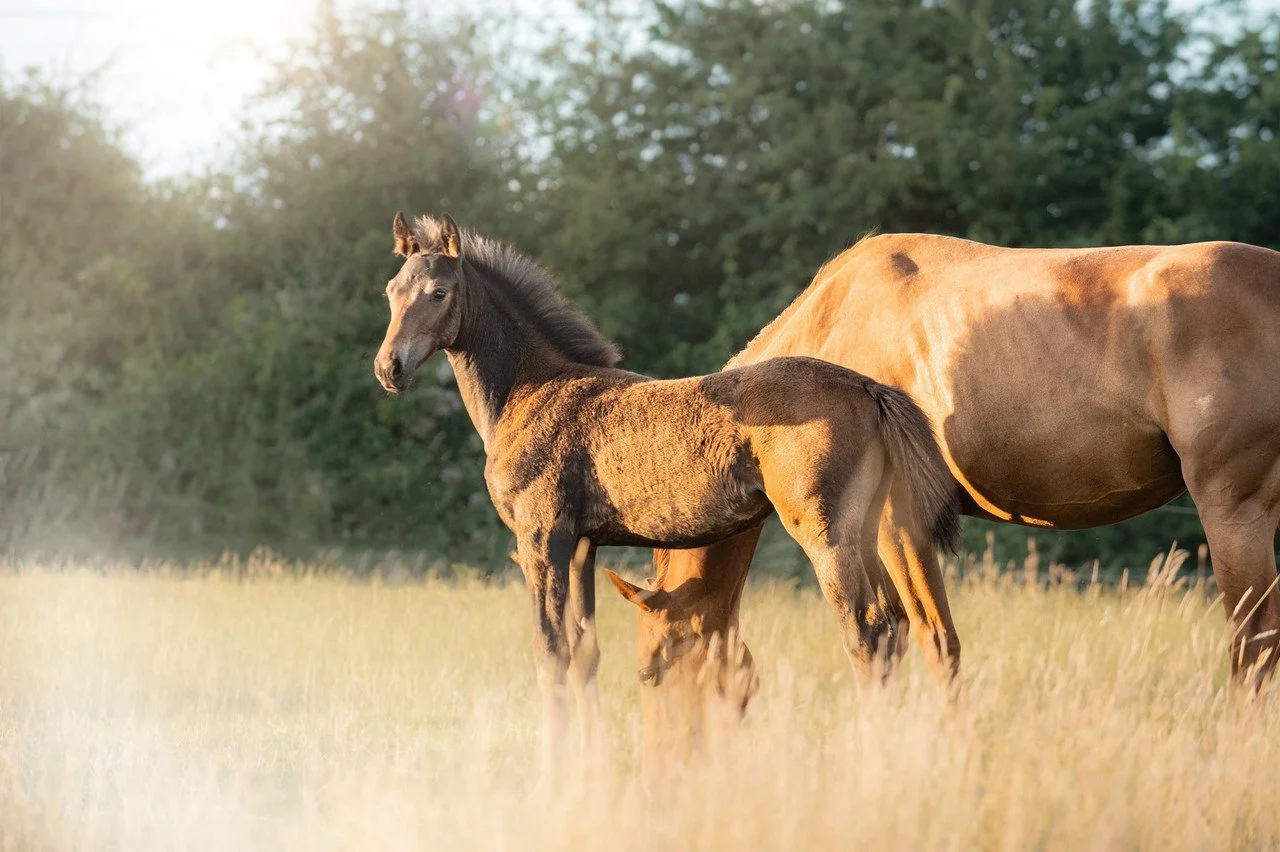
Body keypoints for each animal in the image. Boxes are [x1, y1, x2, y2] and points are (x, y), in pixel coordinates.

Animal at [372, 212, 959, 773]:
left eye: (439, 292)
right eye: (391, 291)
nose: (389, 367)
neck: (531, 389)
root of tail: (867, 386)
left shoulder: (541, 539)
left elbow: (550, 650)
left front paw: (553, 771)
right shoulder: (582, 545)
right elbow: (585, 650)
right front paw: (592, 763)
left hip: (826, 534)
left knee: (866, 632)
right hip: (866, 529)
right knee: (894, 629)